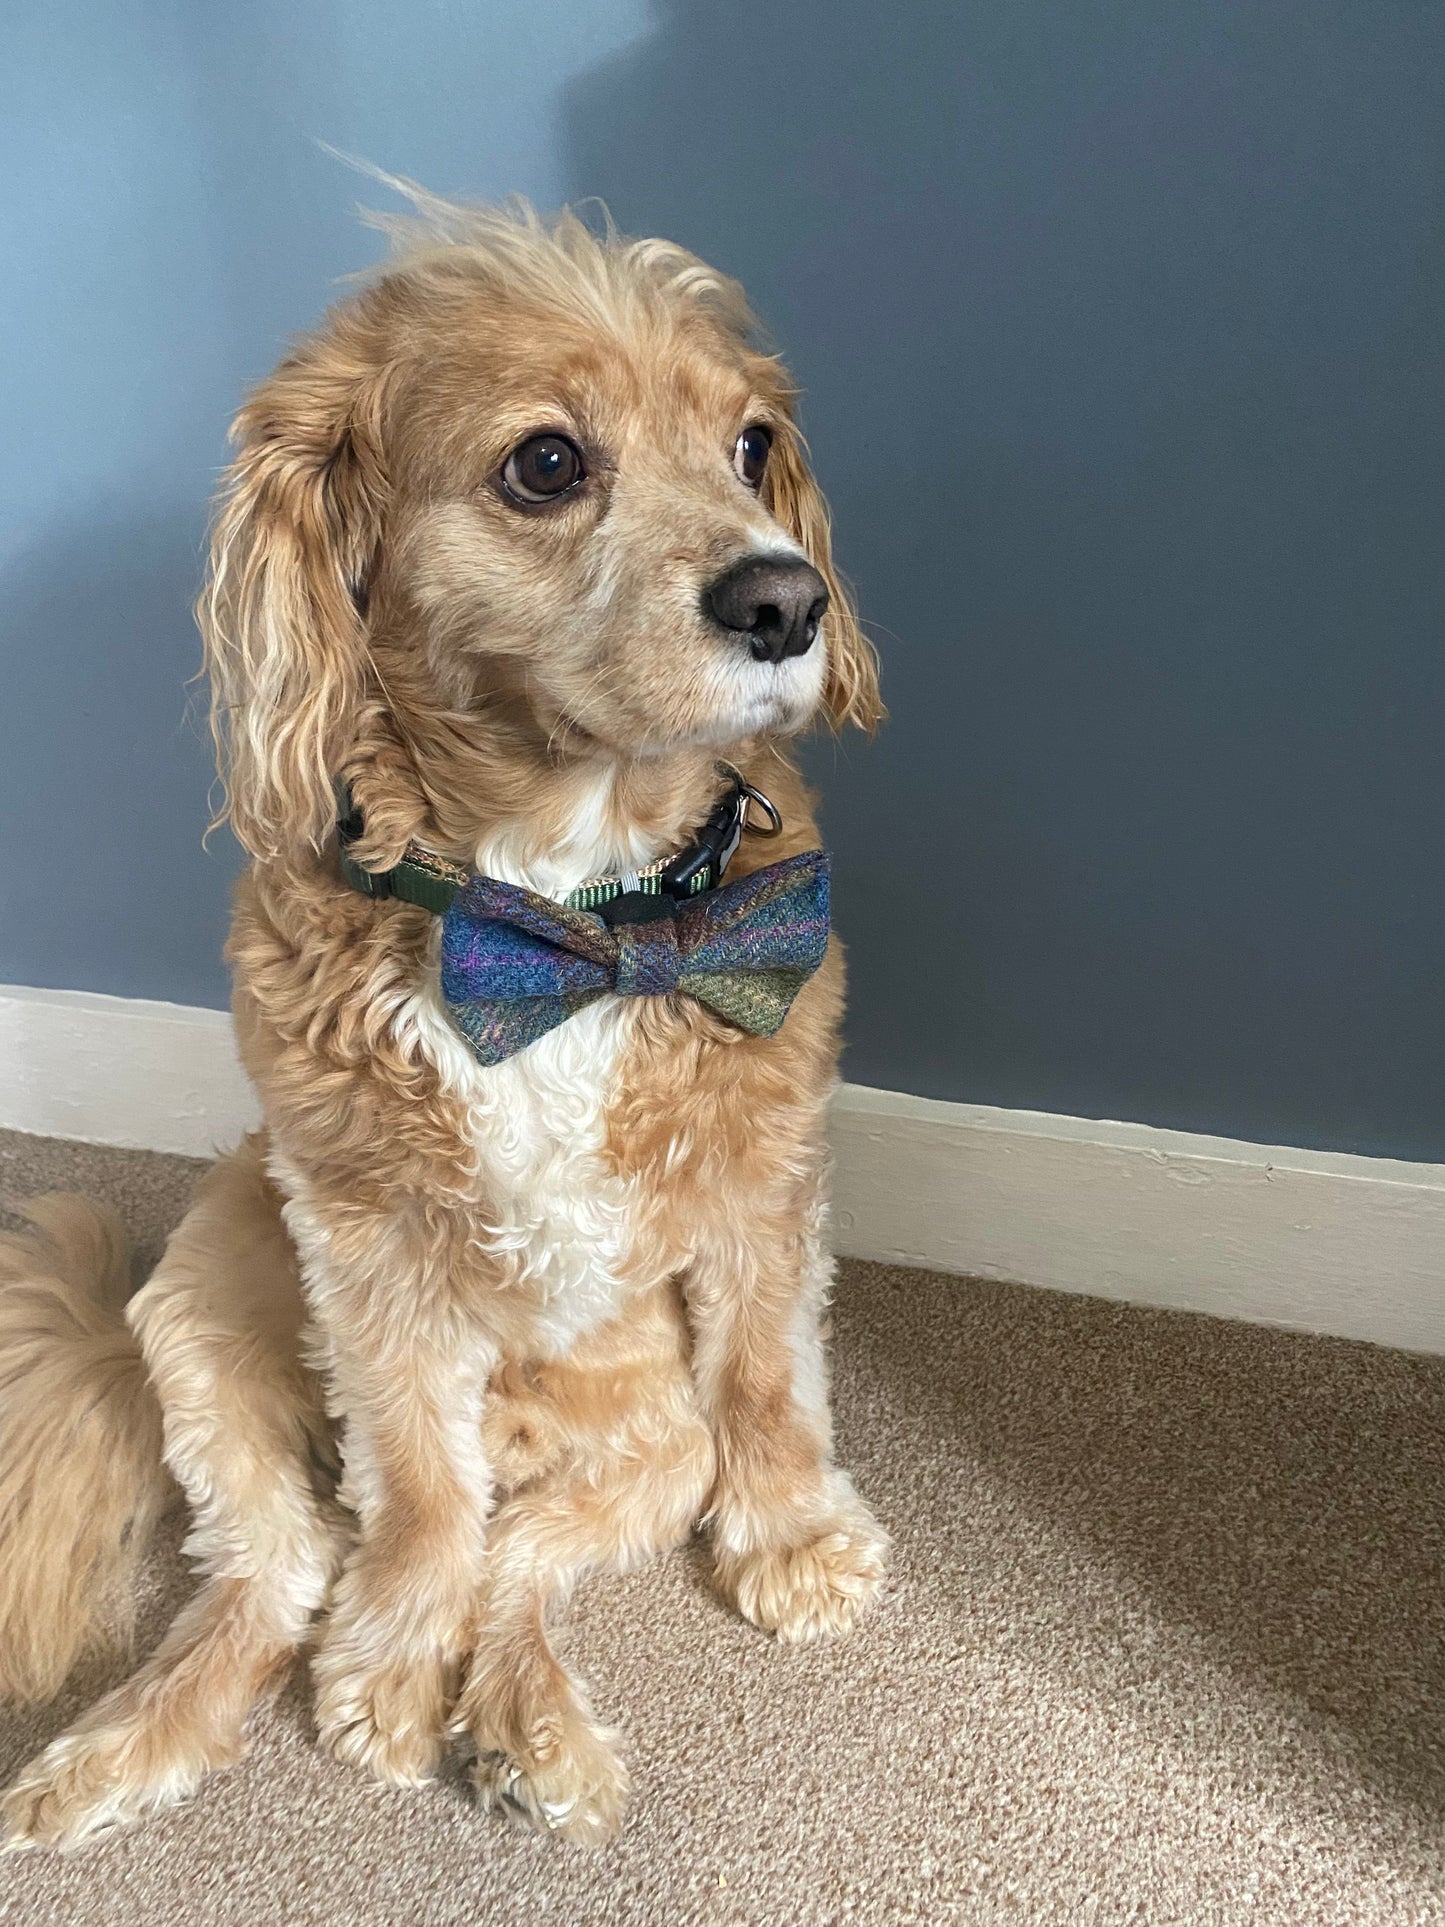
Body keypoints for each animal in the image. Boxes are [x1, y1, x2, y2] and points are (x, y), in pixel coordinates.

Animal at [0, 184, 882, 1849]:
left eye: (750, 445)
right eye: (546, 462)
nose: (785, 596)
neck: (573, 918)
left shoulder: (760, 1182)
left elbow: (762, 1370)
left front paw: (793, 1537)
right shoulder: (369, 1249)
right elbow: (414, 1479)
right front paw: (395, 1655)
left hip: (641, 1442)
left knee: (523, 1562)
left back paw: (535, 1740)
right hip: (199, 1322)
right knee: (283, 1571)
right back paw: (118, 1752)